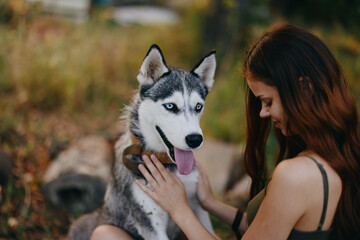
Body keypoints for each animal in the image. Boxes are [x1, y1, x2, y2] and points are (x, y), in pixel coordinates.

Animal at [67, 44, 217, 240]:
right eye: (170, 106)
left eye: (198, 106)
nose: (195, 139)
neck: (169, 167)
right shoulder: (151, 224)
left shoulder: (199, 209)